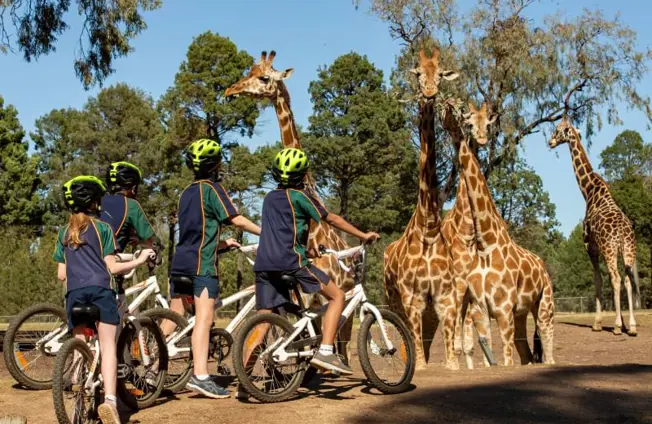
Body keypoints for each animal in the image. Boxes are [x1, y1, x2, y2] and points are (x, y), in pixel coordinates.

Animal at [224, 50, 356, 358]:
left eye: (264, 77)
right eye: (249, 71)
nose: (229, 91)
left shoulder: (319, 295)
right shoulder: (307, 297)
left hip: (344, 302)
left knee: (343, 340)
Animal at [442, 99, 556, 366]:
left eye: (488, 124)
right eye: (469, 121)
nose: (482, 139)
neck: (485, 243)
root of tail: (543, 266)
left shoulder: (503, 310)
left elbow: (503, 355)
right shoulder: (478, 307)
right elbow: (482, 349)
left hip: (543, 306)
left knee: (545, 347)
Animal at [548, 119, 640, 336]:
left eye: (558, 130)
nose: (550, 142)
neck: (588, 190)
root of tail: (622, 233)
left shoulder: (590, 246)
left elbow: (598, 280)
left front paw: (598, 323)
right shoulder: (601, 249)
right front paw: (622, 323)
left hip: (610, 249)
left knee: (617, 278)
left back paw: (617, 327)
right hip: (628, 250)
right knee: (628, 279)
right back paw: (632, 327)